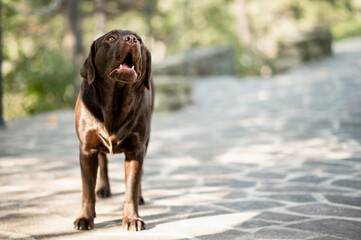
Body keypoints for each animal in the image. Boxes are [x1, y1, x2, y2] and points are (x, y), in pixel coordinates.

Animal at [73, 29, 152, 232]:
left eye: (139, 40)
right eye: (110, 38)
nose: (131, 39)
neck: (115, 101)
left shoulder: (135, 150)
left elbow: (131, 188)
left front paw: (132, 218)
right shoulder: (86, 149)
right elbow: (87, 190)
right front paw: (85, 218)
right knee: (103, 161)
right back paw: (103, 188)